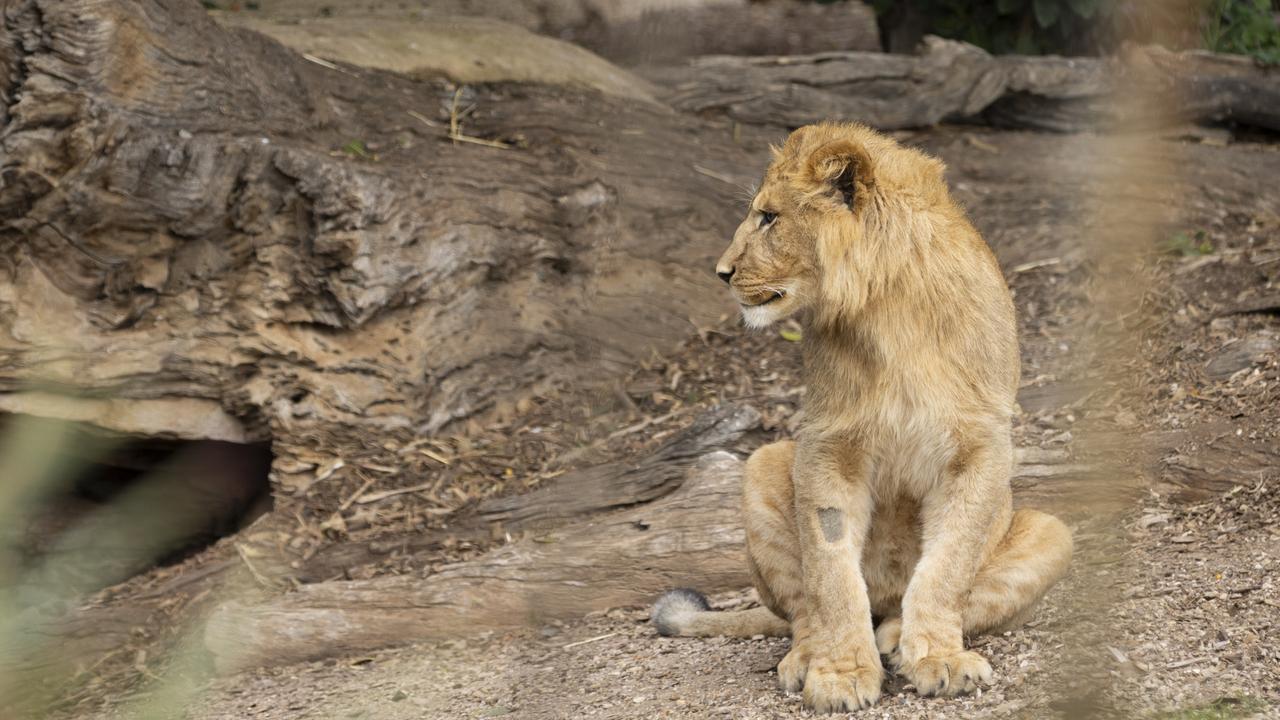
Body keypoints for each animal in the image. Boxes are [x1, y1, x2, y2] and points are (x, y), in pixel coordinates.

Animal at [655, 120, 1075, 707]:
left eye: (769, 217)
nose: (721, 272)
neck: (888, 308)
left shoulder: (981, 444)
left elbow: (948, 566)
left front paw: (940, 658)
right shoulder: (828, 443)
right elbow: (831, 573)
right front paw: (840, 673)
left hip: (1050, 532)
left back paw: (897, 639)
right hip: (762, 463)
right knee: (802, 611)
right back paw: (808, 656)